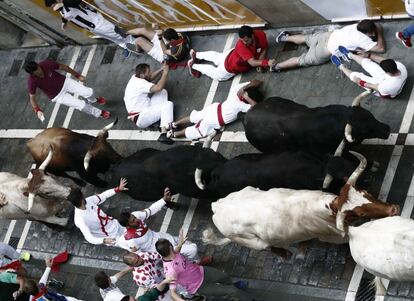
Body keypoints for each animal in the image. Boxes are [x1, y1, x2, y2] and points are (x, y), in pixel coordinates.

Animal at [202, 151, 400, 256]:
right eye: (360, 213)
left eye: (366, 193)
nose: (394, 209)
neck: (326, 207)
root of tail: (217, 207)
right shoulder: (334, 237)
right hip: (254, 242)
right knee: (267, 247)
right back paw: (286, 253)